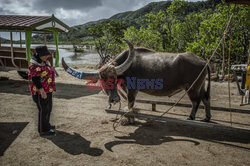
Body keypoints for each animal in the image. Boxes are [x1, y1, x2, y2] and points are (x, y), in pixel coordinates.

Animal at [61, 40, 210, 122]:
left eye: (113, 78)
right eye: (103, 80)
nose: (115, 99)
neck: (127, 67)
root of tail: (203, 61)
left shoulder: (133, 89)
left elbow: (130, 102)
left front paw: (129, 115)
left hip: (192, 87)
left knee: (196, 101)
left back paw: (191, 117)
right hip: (201, 86)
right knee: (205, 98)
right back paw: (207, 118)